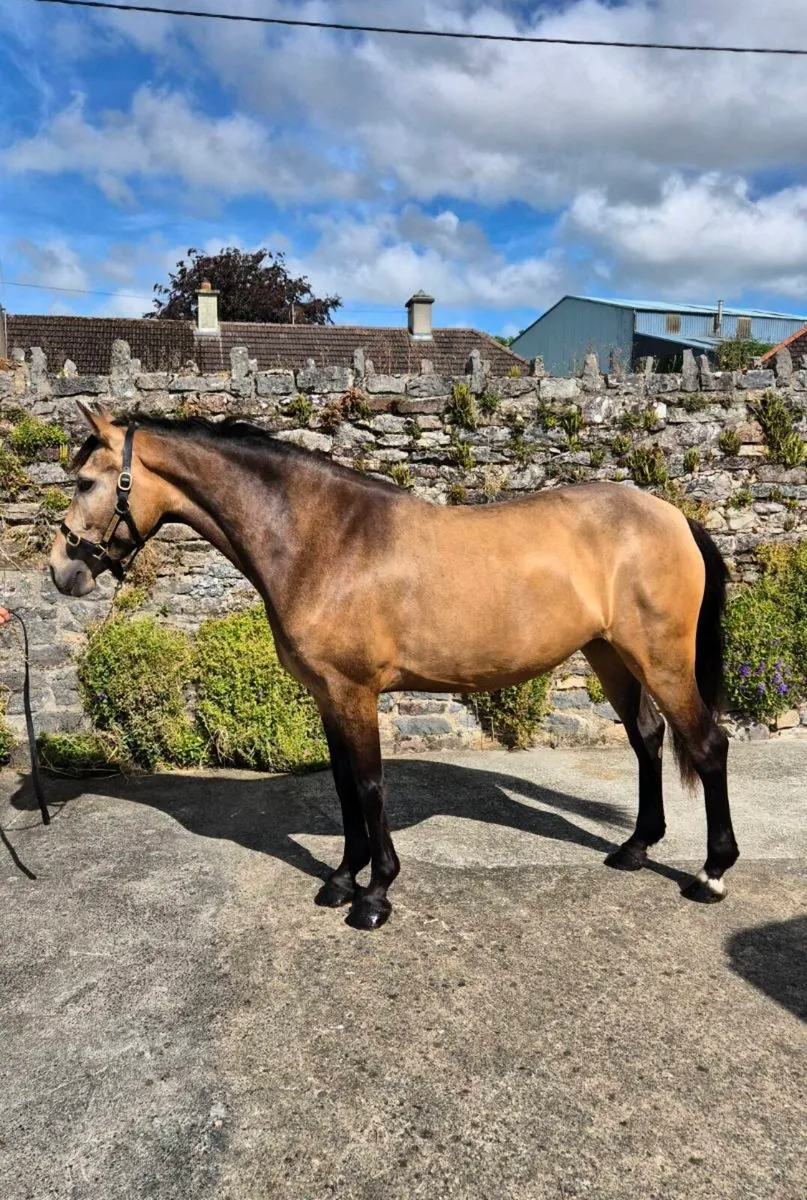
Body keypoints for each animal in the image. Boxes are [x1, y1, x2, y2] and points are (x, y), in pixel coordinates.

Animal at [49, 404, 738, 930]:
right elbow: (343, 787)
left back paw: (710, 874)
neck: (324, 539)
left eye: (85, 482)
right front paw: (340, 880)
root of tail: (674, 516)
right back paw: (635, 849)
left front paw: (375, 896)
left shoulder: (356, 693)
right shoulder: (327, 697)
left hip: (660, 659)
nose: (62, 570)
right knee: (648, 739)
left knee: (707, 746)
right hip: (611, 655)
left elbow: (371, 787)